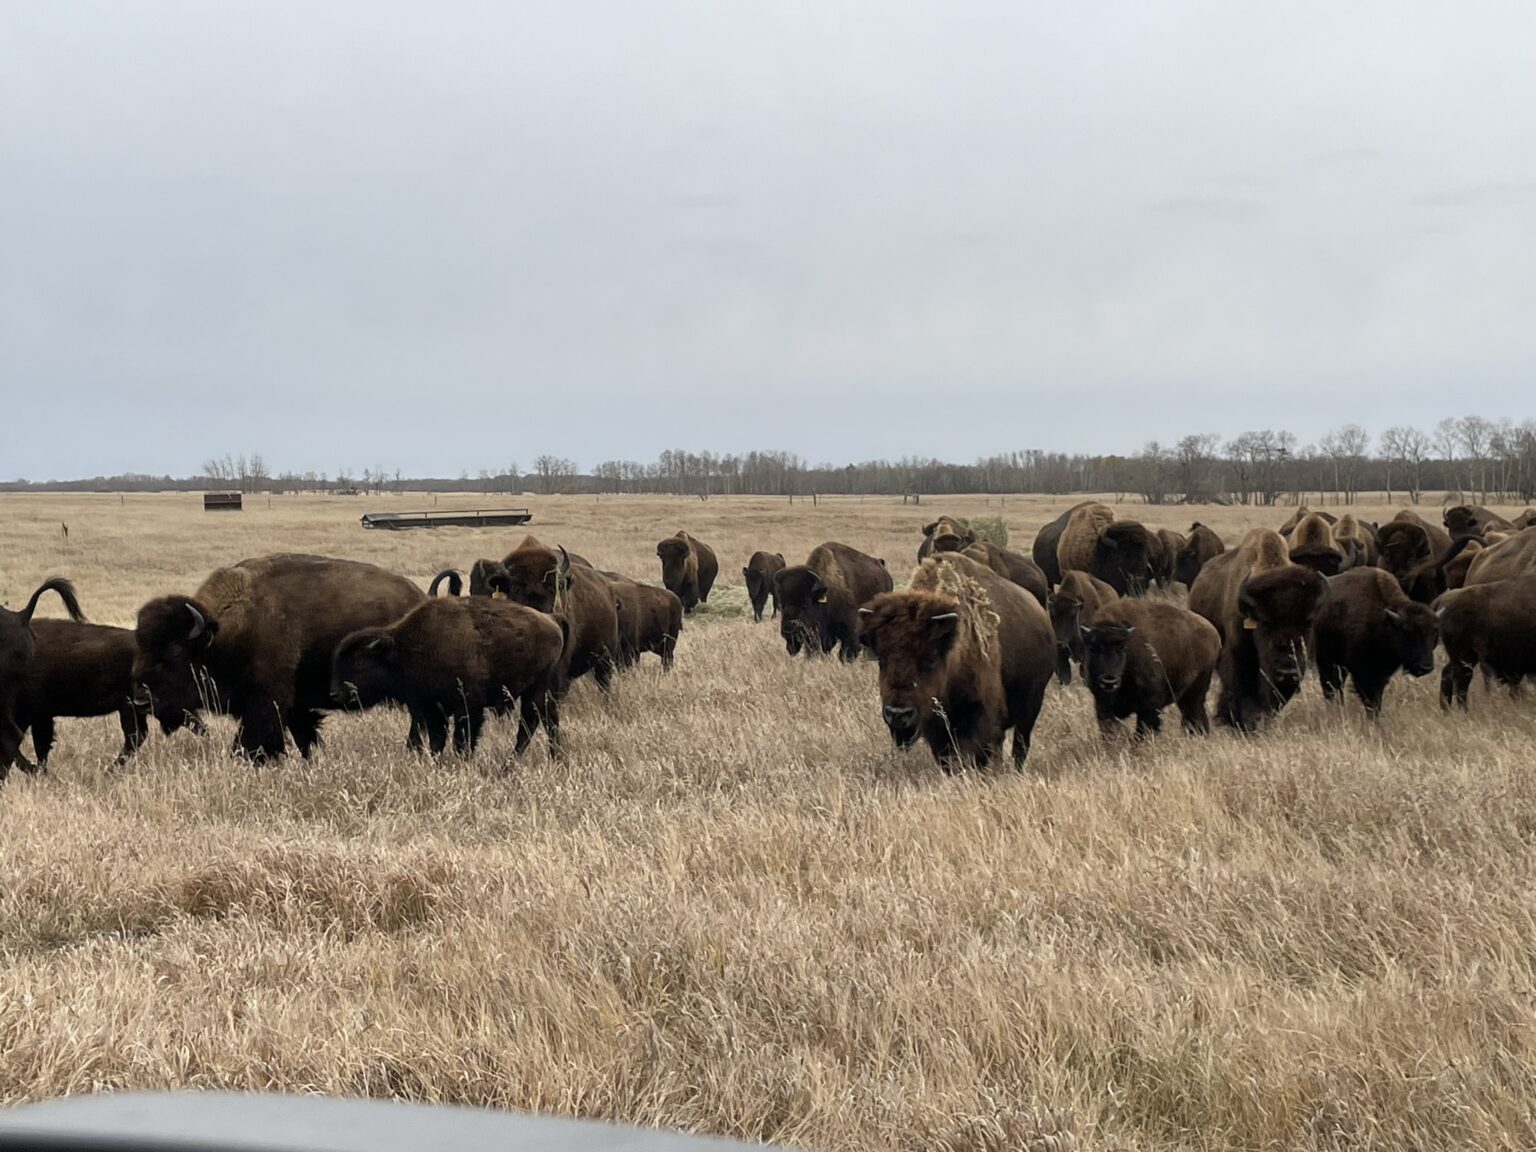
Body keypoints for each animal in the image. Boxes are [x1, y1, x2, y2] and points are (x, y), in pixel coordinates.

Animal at [133, 555, 425, 761]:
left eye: (175, 651)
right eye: (140, 647)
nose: (141, 699)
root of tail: (419, 598)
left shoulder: (267, 700)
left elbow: (253, 740)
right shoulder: (294, 706)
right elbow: (303, 735)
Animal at [858, 553, 1054, 769]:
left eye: (930, 660)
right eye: (882, 659)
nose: (898, 713)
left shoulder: (981, 715)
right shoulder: (937, 727)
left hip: (1031, 708)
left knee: (1020, 744)